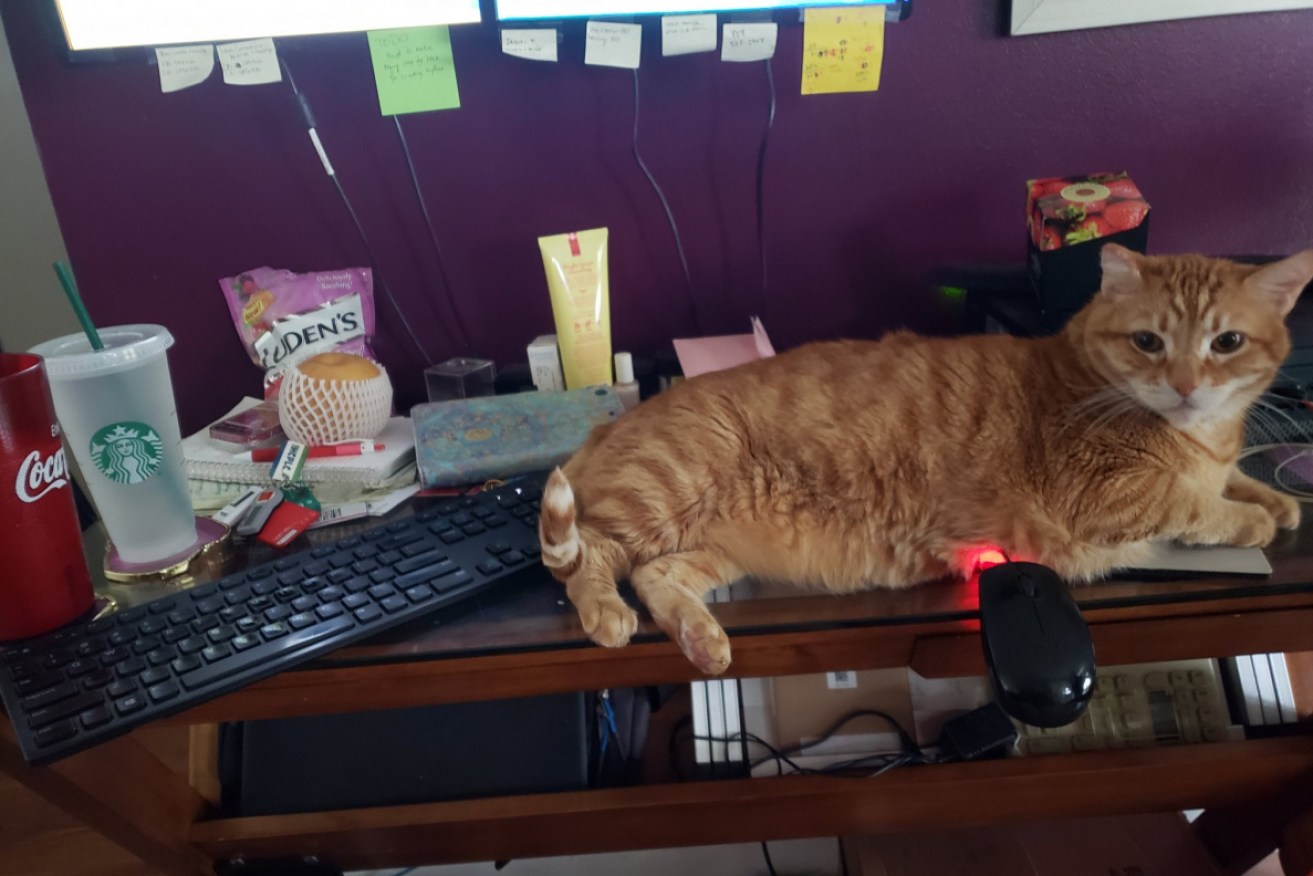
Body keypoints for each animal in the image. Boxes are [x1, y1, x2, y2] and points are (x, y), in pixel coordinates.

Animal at [535, 245, 1313, 672]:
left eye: (1226, 344)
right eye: (1148, 342)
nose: (1183, 385)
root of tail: (605, 426)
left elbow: (1234, 481)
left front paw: (1275, 500)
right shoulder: (1101, 492)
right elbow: (1194, 504)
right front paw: (1250, 520)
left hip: (713, 549)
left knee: (656, 576)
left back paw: (701, 639)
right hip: (663, 489)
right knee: (594, 558)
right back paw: (606, 614)